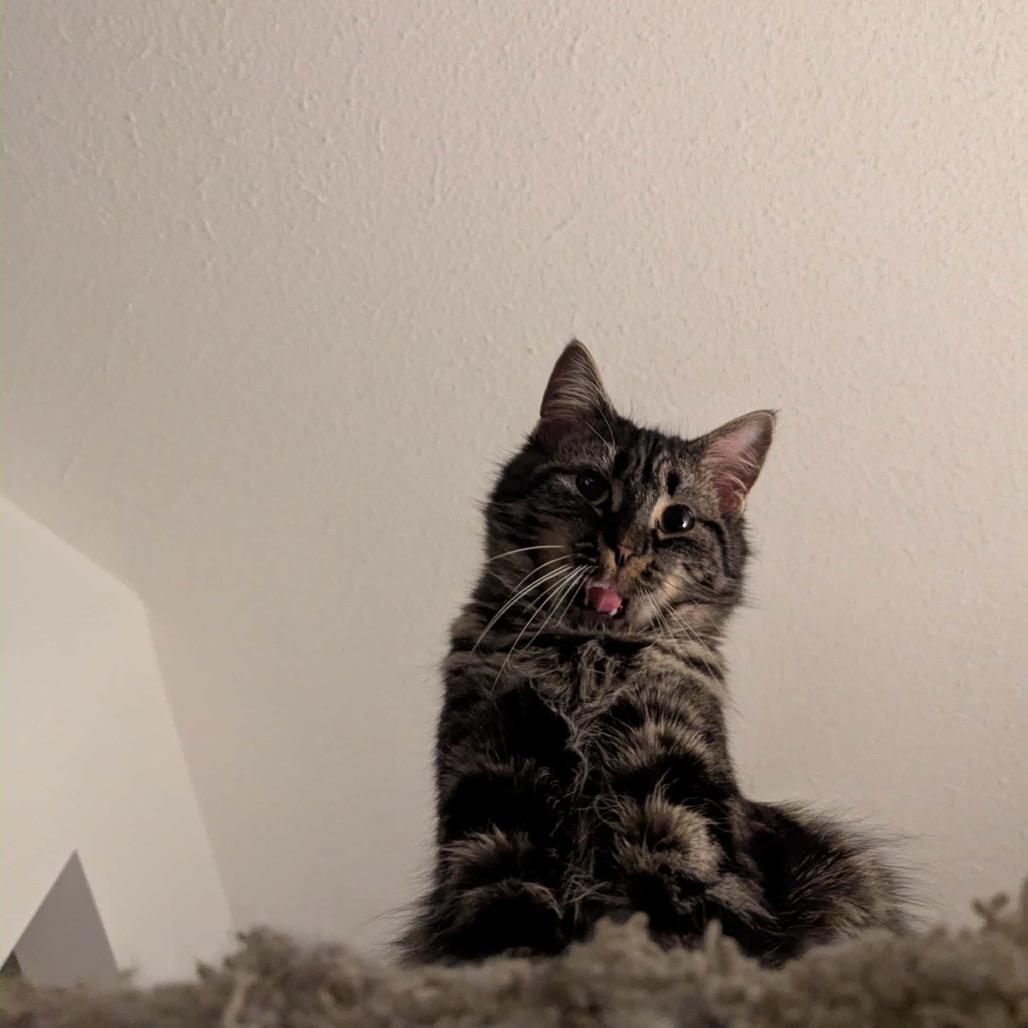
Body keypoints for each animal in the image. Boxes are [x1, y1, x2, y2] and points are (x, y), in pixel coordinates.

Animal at [400, 341, 910, 966]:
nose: (622, 548)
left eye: (677, 520)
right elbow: (505, 930)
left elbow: (674, 922)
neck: (588, 663)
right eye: (591, 485)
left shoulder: (673, 796)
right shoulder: (494, 795)